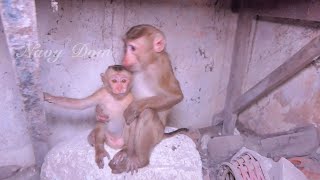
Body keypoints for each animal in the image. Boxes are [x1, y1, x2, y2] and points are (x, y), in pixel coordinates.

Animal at [96, 24, 184, 174]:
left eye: (132, 48)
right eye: (125, 47)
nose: (124, 57)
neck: (146, 66)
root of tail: (162, 133)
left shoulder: (163, 66)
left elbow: (176, 96)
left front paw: (134, 107)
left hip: (157, 133)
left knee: (147, 113)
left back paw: (140, 160)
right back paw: (126, 151)